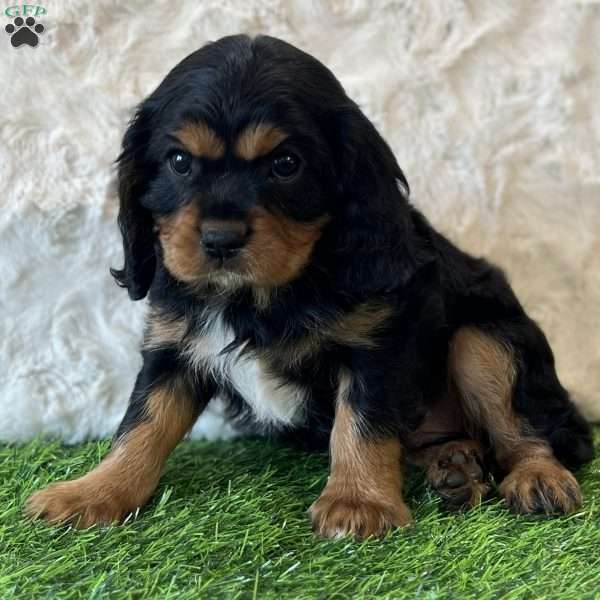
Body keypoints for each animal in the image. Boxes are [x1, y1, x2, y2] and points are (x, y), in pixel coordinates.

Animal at [27, 32, 592, 540]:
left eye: (285, 165)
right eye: (179, 162)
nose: (220, 238)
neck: (256, 296)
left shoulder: (377, 344)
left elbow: (361, 422)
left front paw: (358, 502)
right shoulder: (175, 346)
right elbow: (143, 423)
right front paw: (94, 491)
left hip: (487, 340)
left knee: (525, 427)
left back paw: (536, 478)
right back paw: (455, 466)